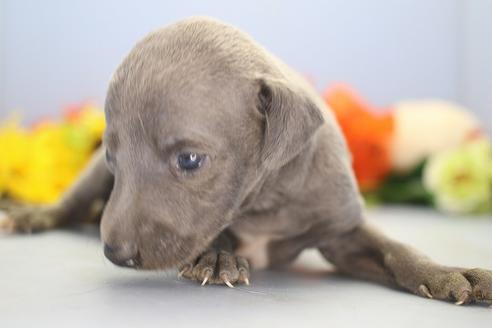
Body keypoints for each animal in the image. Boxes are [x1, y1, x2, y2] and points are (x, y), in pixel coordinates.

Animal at [1, 17, 490, 304]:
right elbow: (219, 230)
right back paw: (29, 216)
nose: (115, 253)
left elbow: (396, 249)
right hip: (87, 180)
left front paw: (448, 274)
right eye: (113, 157)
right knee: (66, 205)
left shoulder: (342, 231)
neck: (267, 200)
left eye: (190, 160)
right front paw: (219, 256)